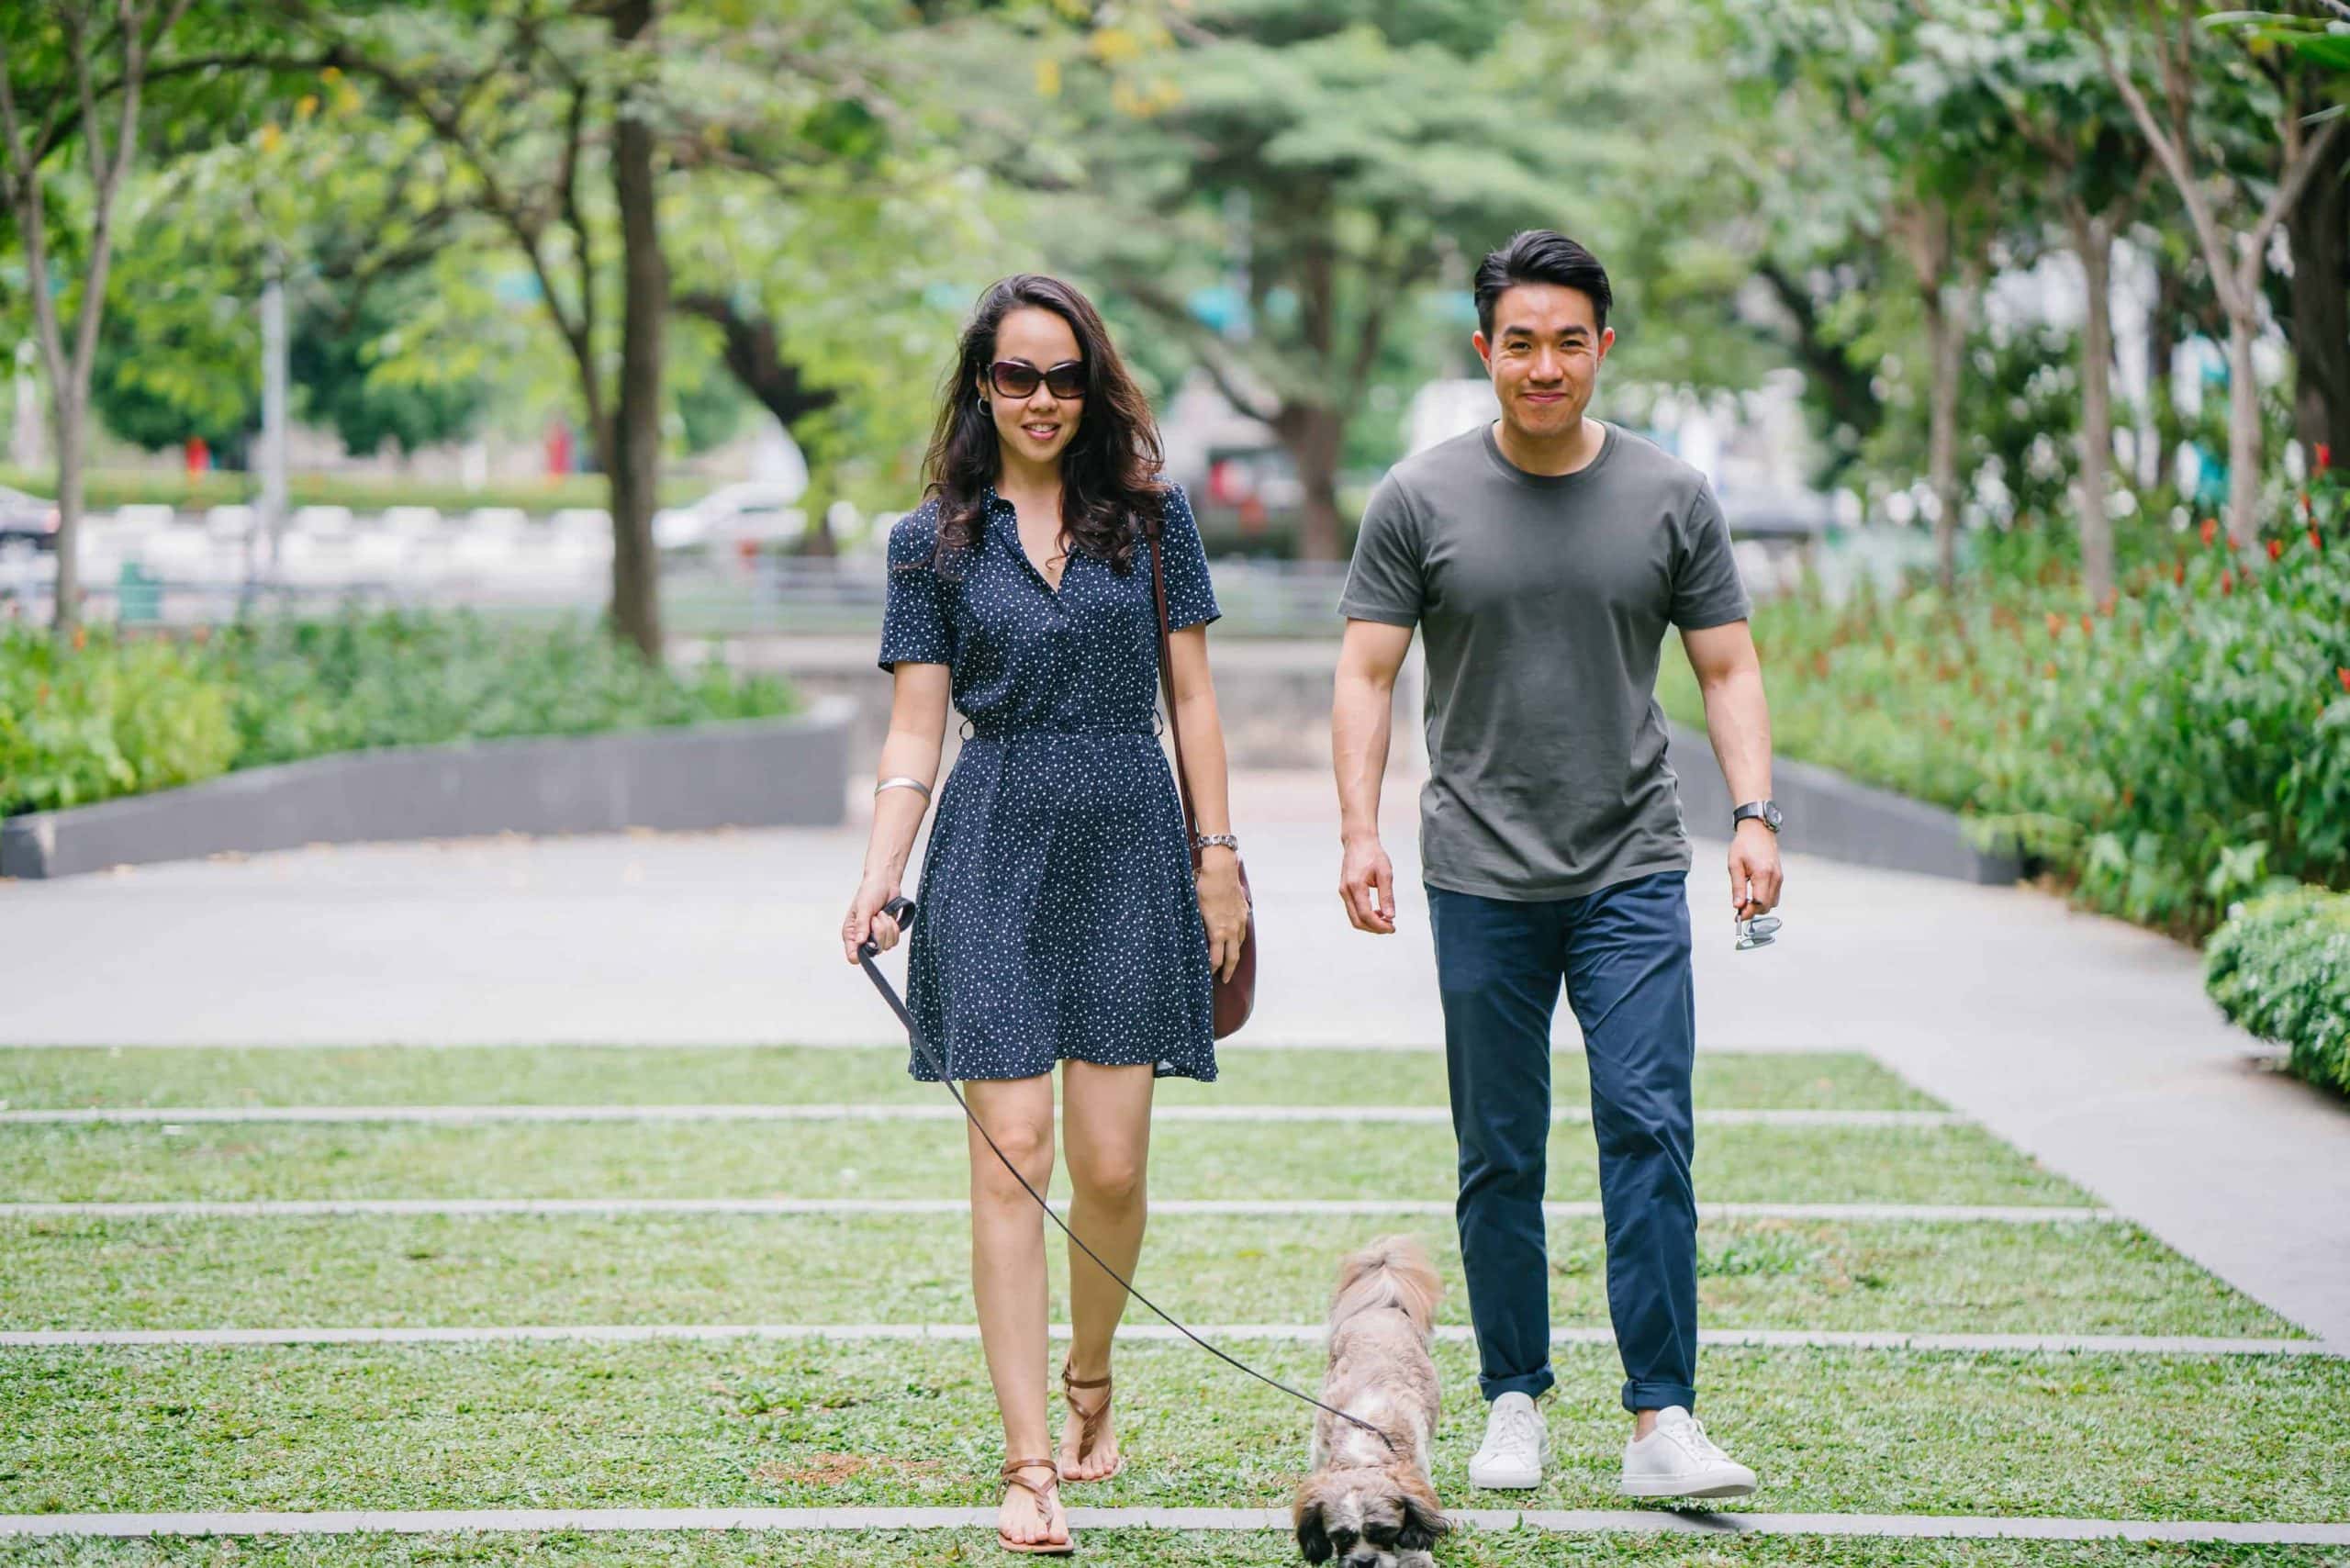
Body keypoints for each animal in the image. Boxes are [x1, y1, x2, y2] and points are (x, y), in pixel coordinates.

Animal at [1287, 1241, 1447, 1568]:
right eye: (1340, 1537)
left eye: (1385, 1532)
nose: (1364, 1561)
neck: (1364, 1441)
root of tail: (1380, 1308)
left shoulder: (1417, 1469)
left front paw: (1415, 1555)